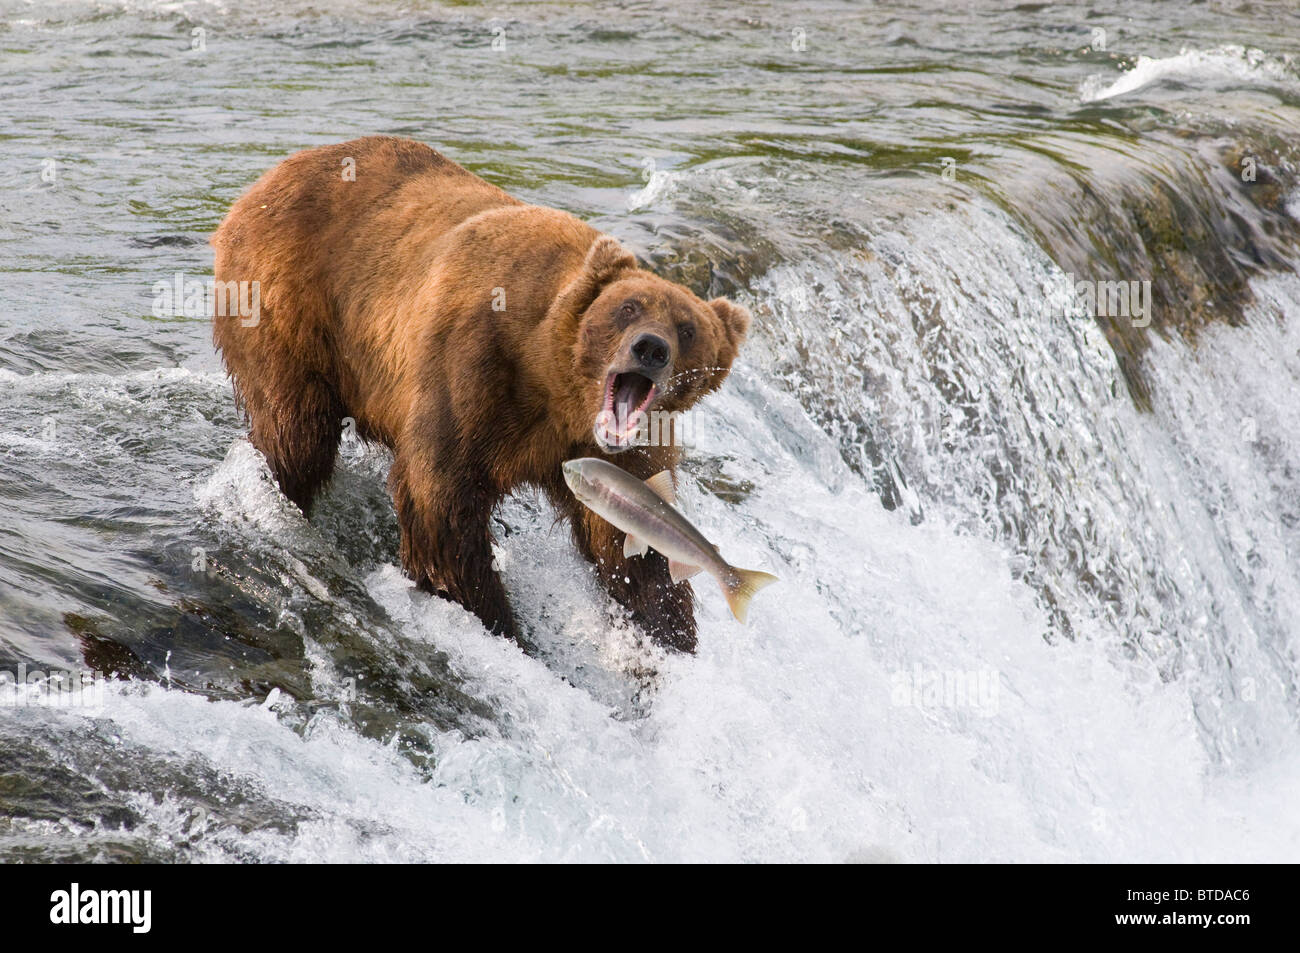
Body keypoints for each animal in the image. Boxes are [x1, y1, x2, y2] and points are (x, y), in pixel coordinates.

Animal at [211, 136, 751, 652]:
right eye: (628, 307)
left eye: (687, 327)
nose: (651, 348)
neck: (552, 380)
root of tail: (261, 184)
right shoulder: (475, 366)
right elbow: (441, 499)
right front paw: (496, 619)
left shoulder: (624, 449)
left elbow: (628, 543)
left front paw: (667, 633)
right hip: (288, 302)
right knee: (298, 435)